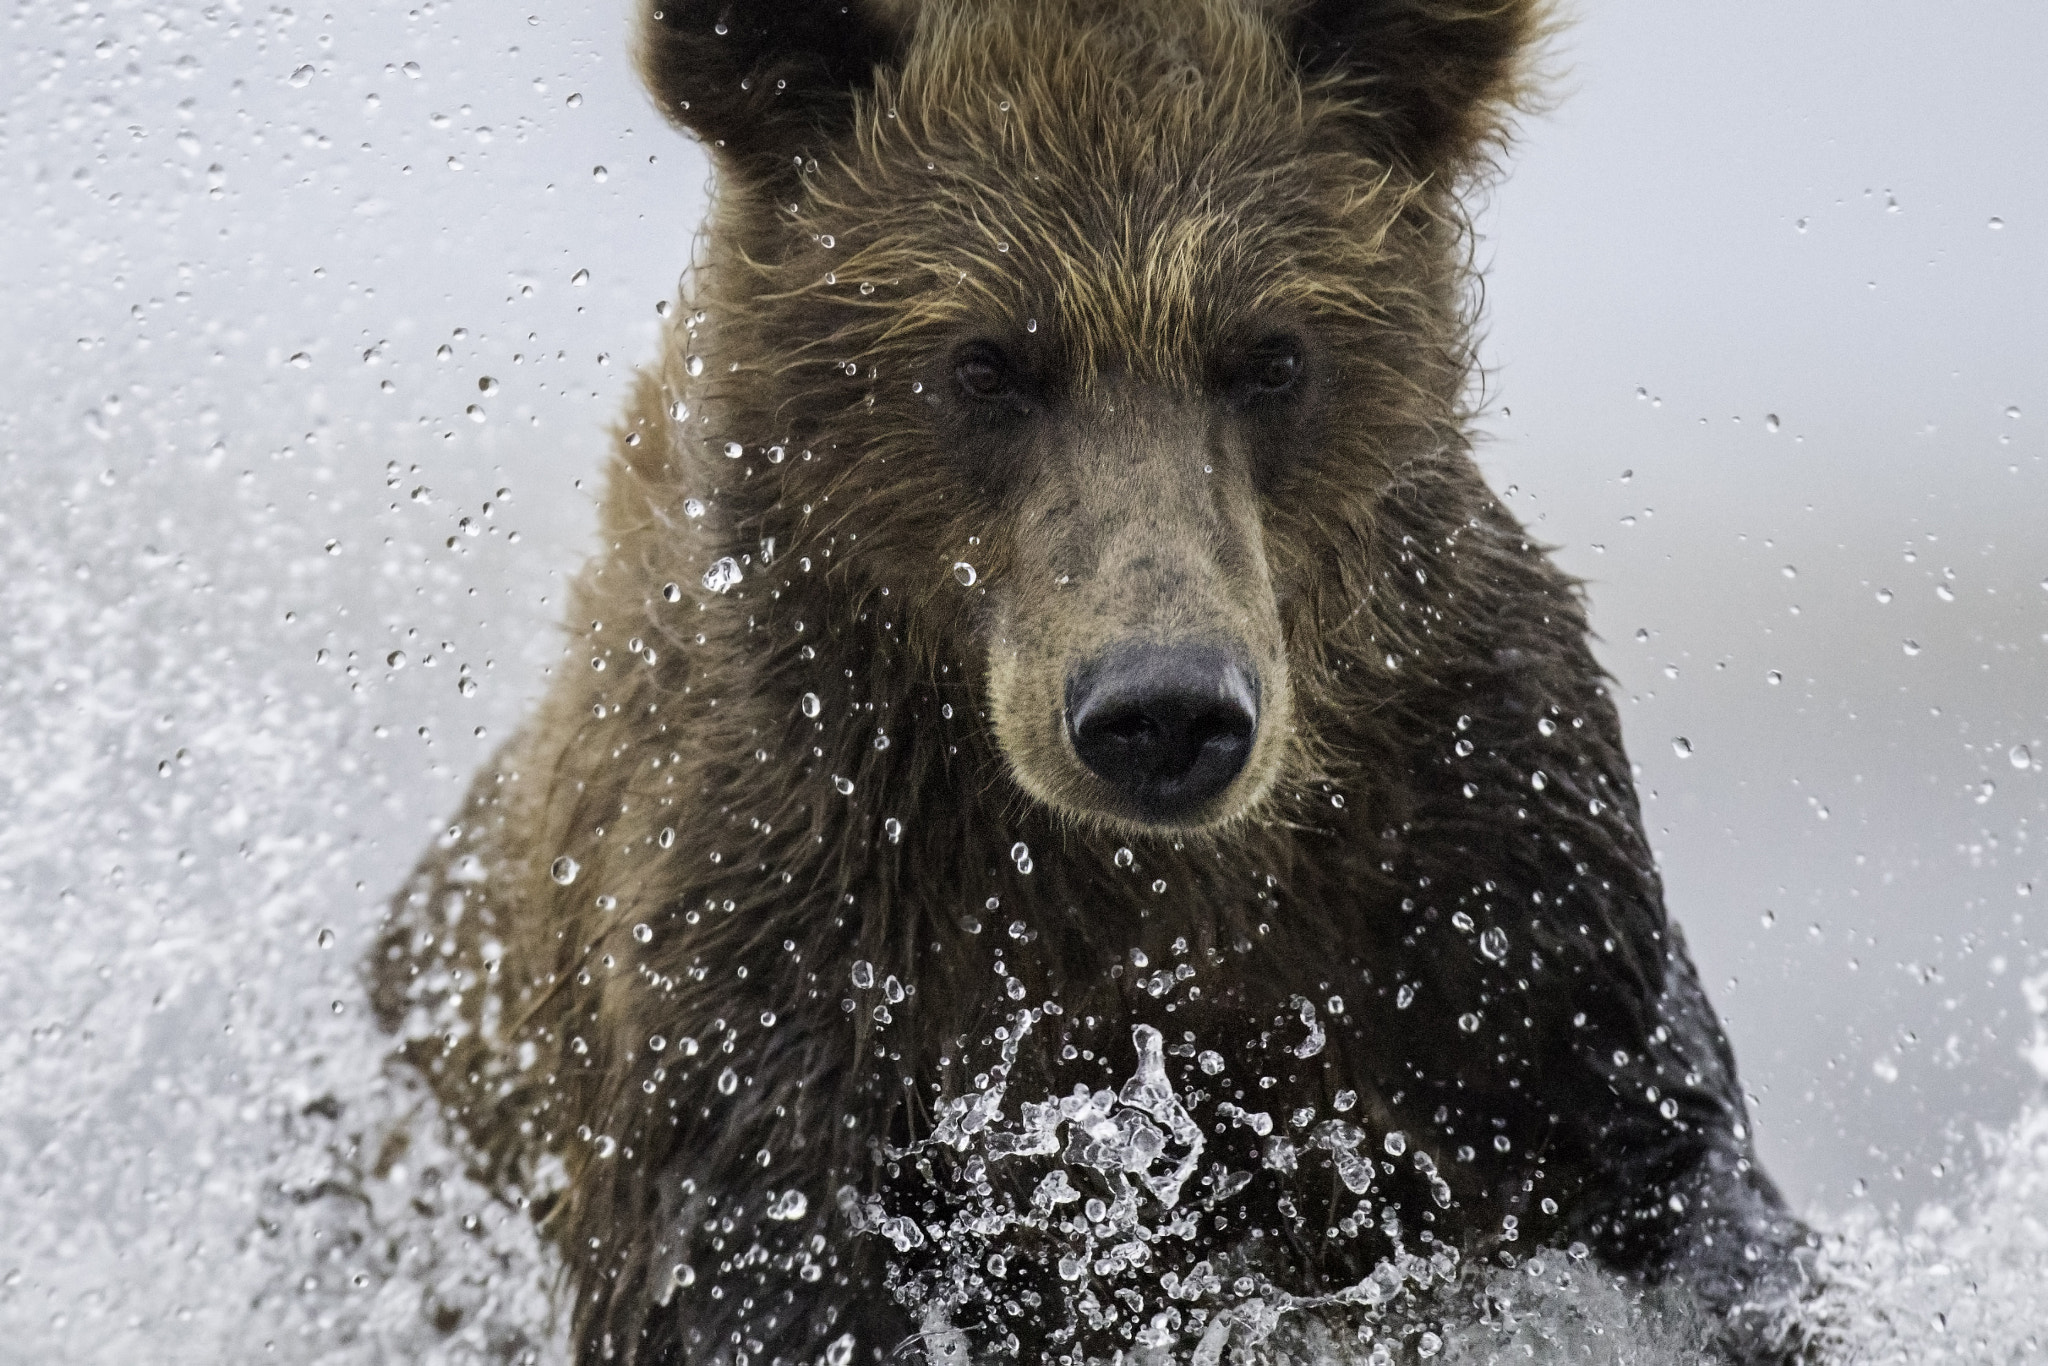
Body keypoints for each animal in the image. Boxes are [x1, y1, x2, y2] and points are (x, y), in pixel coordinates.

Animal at [368, 2, 1810, 1366]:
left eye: (1272, 352)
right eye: (983, 361)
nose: (1161, 709)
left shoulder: (1473, 863)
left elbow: (1654, 1169)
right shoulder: (778, 903)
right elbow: (752, 1261)